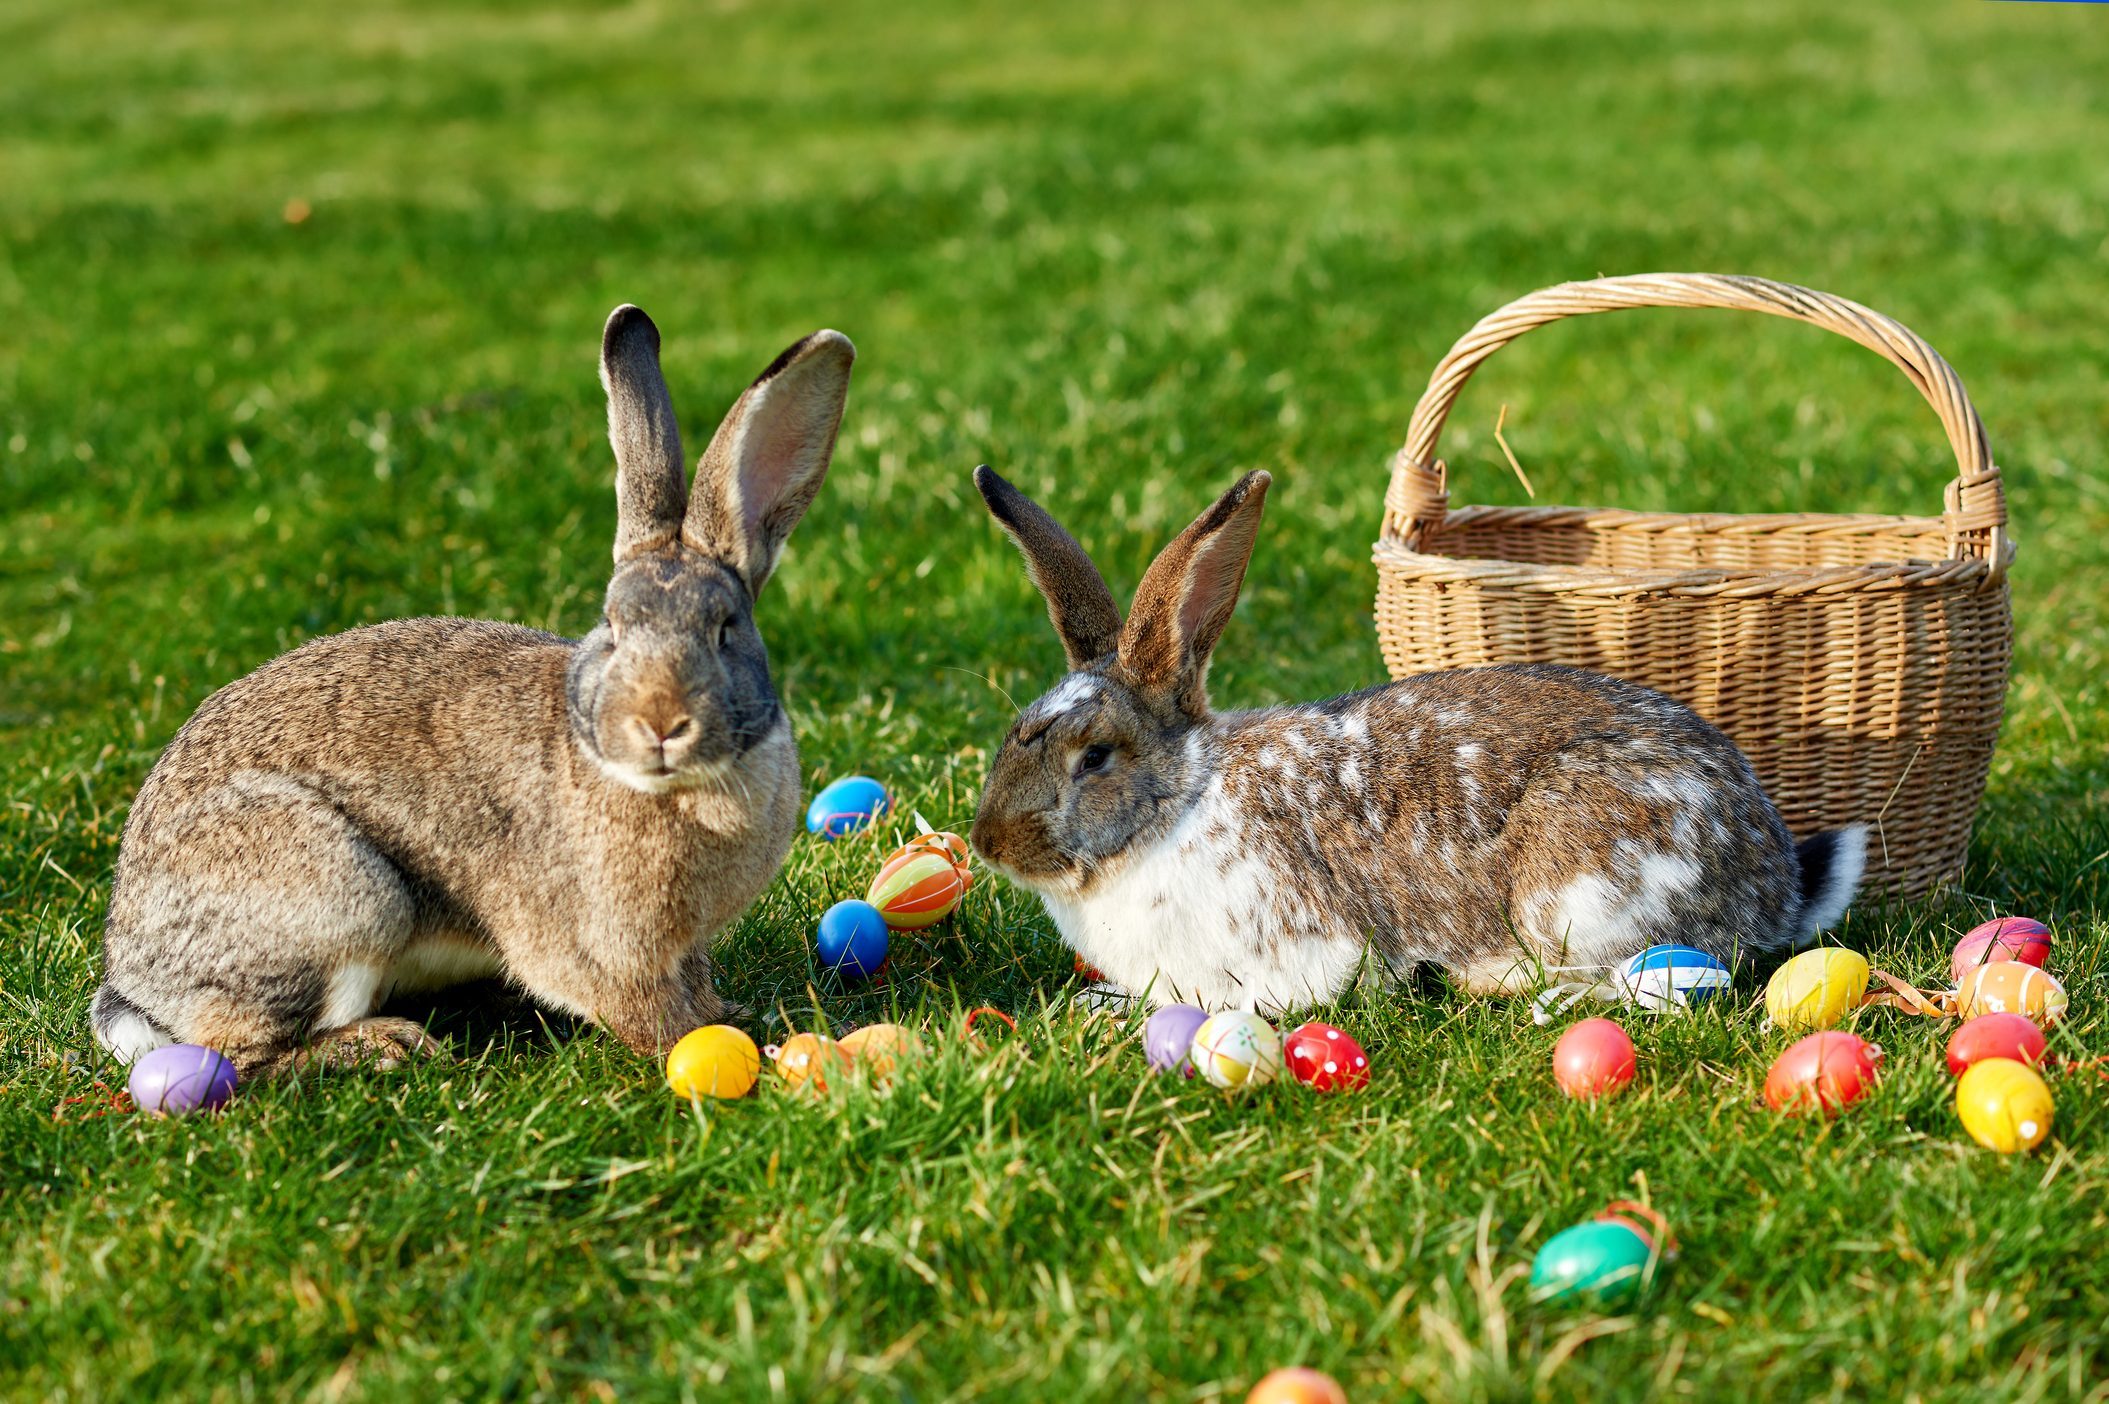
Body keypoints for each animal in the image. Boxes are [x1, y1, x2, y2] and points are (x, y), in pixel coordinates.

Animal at [90, 307, 854, 1077]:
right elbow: (646, 1012)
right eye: (611, 626)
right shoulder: (598, 947)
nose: (660, 723)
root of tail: (132, 978)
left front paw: (733, 1014)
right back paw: (383, 1045)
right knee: (242, 1053)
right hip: (345, 896)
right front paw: (711, 1043)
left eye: (727, 628)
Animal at [967, 466, 1867, 1016]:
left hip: (1585, 891)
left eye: (1095, 756)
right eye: (1017, 734)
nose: (988, 843)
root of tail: (1775, 881)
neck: (1180, 802)